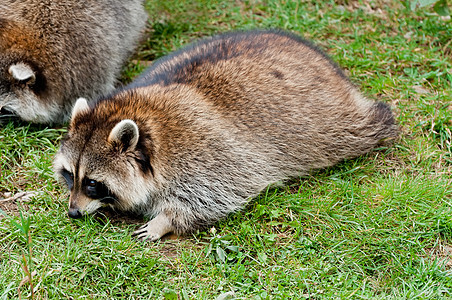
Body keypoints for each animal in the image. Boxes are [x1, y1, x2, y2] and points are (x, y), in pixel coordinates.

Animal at [54, 29, 398, 241]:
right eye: (70, 175)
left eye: (93, 183)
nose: (72, 212)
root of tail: (323, 62)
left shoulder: (206, 152)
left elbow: (214, 196)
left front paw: (164, 221)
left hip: (329, 121)